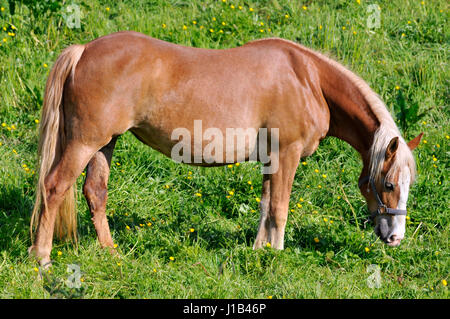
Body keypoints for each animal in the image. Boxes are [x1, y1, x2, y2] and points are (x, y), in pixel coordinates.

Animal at [29, 31, 422, 268]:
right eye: (388, 184)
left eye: (408, 185)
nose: (396, 237)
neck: (308, 79)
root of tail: (83, 51)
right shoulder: (286, 154)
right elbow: (280, 208)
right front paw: (277, 256)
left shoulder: (270, 159)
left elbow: (265, 206)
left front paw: (260, 250)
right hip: (84, 143)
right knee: (54, 187)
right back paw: (43, 259)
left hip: (104, 143)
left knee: (95, 192)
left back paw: (111, 253)